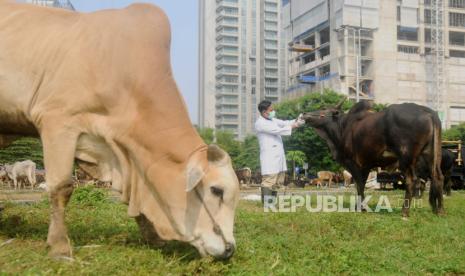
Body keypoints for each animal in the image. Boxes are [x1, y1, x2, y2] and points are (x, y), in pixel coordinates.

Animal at [300, 99, 442, 218]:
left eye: (323, 108)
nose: (304, 114)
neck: (342, 127)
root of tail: (428, 112)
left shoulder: (353, 163)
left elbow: (359, 185)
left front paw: (360, 208)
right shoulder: (366, 165)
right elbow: (361, 185)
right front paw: (360, 206)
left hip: (406, 159)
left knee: (412, 180)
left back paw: (404, 212)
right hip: (430, 156)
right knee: (438, 177)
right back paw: (439, 210)